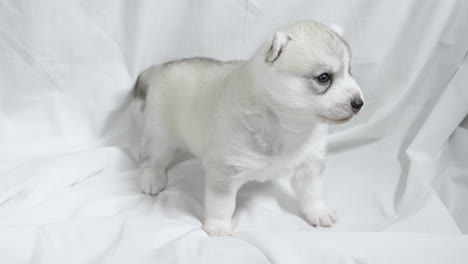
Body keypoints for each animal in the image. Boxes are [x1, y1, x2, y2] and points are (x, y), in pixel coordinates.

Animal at [133, 20, 364, 235]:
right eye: (324, 77)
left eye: (349, 72)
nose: (359, 103)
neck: (286, 123)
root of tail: (160, 67)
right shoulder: (225, 169)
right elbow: (222, 204)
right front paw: (218, 226)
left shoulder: (310, 163)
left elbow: (312, 192)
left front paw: (318, 211)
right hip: (159, 133)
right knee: (152, 158)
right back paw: (152, 178)